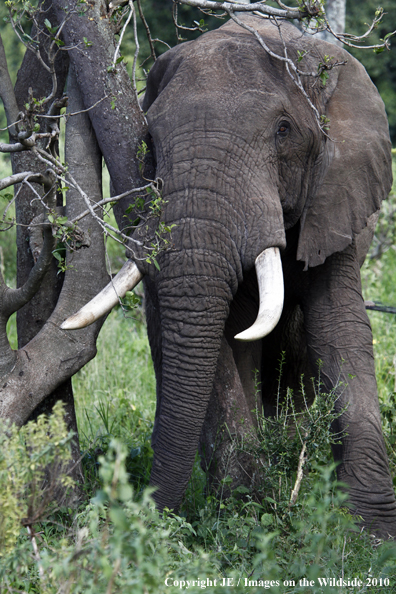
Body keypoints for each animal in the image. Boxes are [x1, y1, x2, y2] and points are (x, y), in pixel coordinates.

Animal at [63, 16, 396, 536]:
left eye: (283, 131)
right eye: (150, 141)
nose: (141, 515)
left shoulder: (338, 191)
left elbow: (338, 326)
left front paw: (372, 531)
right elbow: (223, 337)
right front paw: (246, 508)